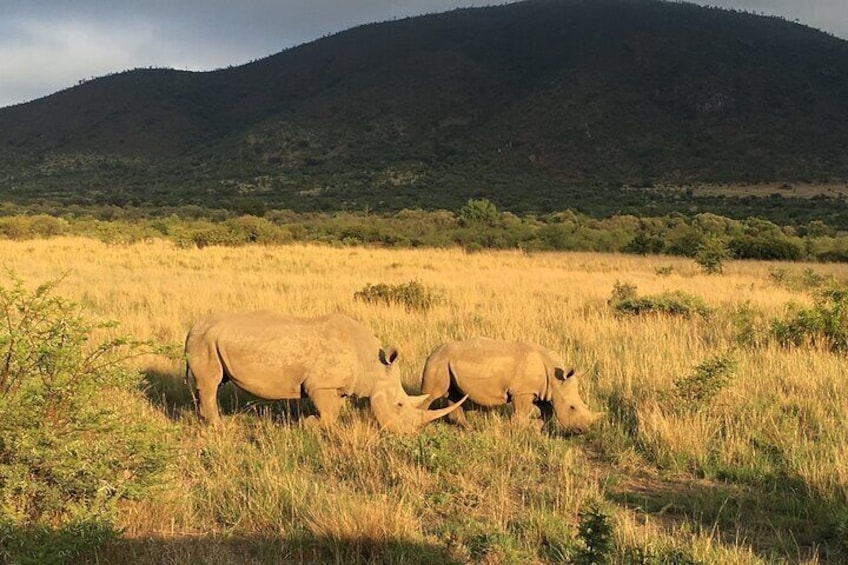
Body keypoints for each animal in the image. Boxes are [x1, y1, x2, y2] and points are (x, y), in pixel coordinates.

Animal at [186, 310, 464, 434]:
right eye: (399, 405)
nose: (409, 433)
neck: (372, 366)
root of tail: (193, 327)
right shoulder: (320, 385)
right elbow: (328, 415)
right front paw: (307, 424)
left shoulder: (338, 387)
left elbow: (334, 412)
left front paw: (311, 424)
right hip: (205, 341)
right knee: (211, 384)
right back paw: (218, 426)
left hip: (207, 340)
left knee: (208, 384)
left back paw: (202, 419)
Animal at [420, 334, 604, 432]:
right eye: (572, 408)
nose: (583, 430)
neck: (554, 379)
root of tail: (432, 353)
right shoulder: (522, 392)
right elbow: (521, 414)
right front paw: (521, 429)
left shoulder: (543, 392)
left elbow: (548, 413)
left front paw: (536, 429)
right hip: (438, 362)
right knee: (432, 394)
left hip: (447, 362)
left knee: (455, 394)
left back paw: (469, 428)